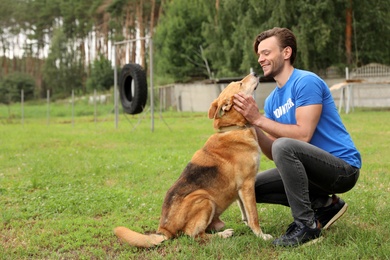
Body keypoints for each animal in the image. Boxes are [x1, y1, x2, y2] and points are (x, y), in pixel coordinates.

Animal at [114, 72, 272, 248]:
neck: (234, 128)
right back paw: (223, 234)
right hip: (204, 199)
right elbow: (254, 216)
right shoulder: (247, 184)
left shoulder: (240, 190)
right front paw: (261, 235)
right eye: (240, 84)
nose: (255, 73)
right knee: (194, 235)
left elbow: (246, 214)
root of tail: (164, 230)